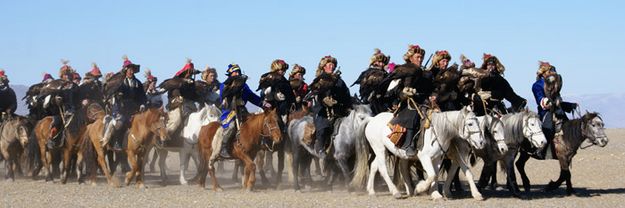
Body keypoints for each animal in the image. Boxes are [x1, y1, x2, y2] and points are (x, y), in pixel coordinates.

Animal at [358, 107, 486, 200]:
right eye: (470, 124)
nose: (481, 142)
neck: (438, 131)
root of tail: (372, 119)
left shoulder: (438, 158)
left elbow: (436, 174)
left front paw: (435, 193)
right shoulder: (425, 157)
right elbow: (432, 175)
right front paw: (420, 189)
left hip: (383, 151)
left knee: (375, 166)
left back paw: (372, 191)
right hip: (380, 149)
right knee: (383, 168)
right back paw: (396, 192)